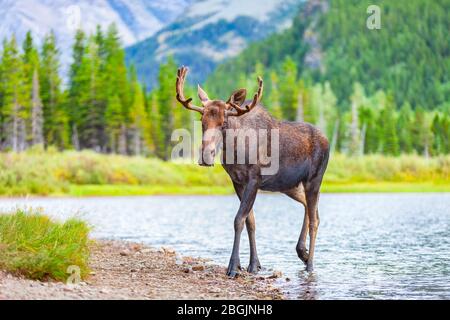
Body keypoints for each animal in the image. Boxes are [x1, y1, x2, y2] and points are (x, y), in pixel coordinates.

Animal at [177, 67, 330, 276]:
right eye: (202, 121)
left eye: (224, 123)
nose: (206, 155)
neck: (235, 150)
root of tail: (328, 140)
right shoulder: (237, 182)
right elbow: (250, 221)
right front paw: (253, 264)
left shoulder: (254, 180)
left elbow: (238, 219)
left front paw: (234, 266)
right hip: (290, 186)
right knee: (311, 208)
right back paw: (303, 252)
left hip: (314, 179)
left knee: (315, 219)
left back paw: (310, 264)